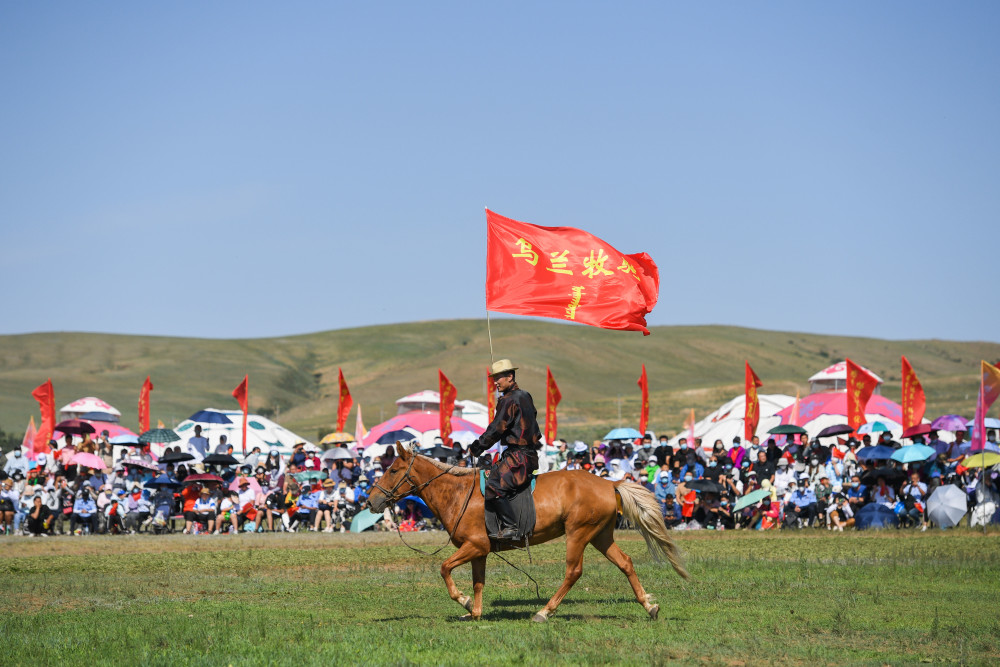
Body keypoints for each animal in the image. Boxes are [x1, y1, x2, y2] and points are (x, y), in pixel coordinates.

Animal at [368, 446, 688, 624]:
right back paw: (649, 606)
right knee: (625, 563)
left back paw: (544, 612)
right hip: (600, 536)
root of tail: (609, 483)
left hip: (578, 534)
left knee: (573, 572)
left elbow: (445, 568)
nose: (371, 501)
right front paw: (475, 612)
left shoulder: (474, 546)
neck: (458, 493)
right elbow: (478, 582)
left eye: (393, 470)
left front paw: (464, 602)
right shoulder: (479, 551)